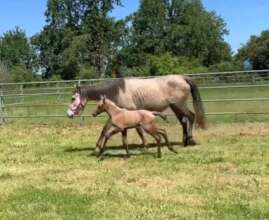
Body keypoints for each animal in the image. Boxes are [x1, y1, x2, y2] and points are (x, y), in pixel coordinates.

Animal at [67, 75, 205, 152]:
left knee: (191, 116)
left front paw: (145, 146)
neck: (117, 91)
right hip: (175, 106)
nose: (68, 114)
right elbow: (104, 129)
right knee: (183, 121)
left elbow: (139, 130)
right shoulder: (117, 114)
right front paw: (96, 148)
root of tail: (183, 78)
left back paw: (190, 140)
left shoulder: (131, 112)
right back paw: (184, 142)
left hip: (179, 104)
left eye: (73, 98)